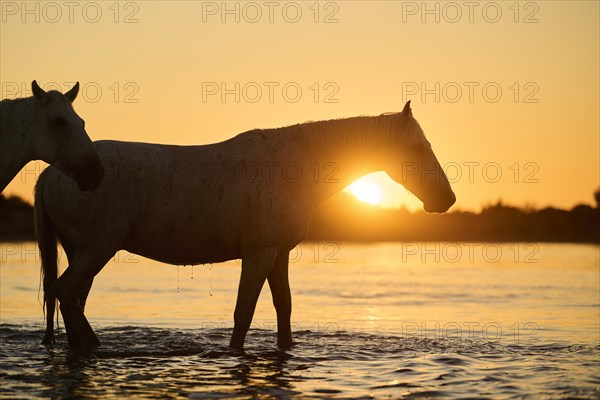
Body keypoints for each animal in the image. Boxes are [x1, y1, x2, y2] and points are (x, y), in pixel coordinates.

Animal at [36, 101, 454, 348]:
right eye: (416, 147)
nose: (446, 199)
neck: (295, 166)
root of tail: (50, 175)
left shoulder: (278, 254)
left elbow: (284, 308)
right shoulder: (258, 254)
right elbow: (244, 313)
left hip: (80, 251)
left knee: (70, 298)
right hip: (96, 249)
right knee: (65, 292)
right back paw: (93, 347)